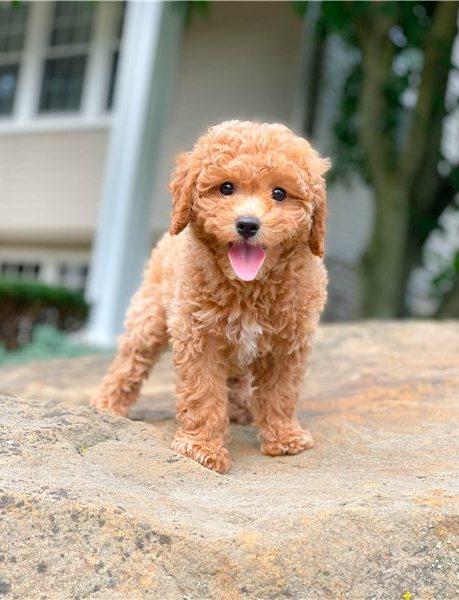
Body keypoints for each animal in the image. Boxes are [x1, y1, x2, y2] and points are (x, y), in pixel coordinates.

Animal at [91, 120, 330, 474]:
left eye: (279, 193)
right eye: (226, 188)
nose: (247, 224)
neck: (249, 286)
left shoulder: (288, 342)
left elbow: (281, 391)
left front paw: (284, 436)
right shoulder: (198, 336)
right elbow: (202, 393)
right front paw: (202, 448)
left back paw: (242, 408)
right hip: (149, 317)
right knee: (129, 362)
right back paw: (107, 404)